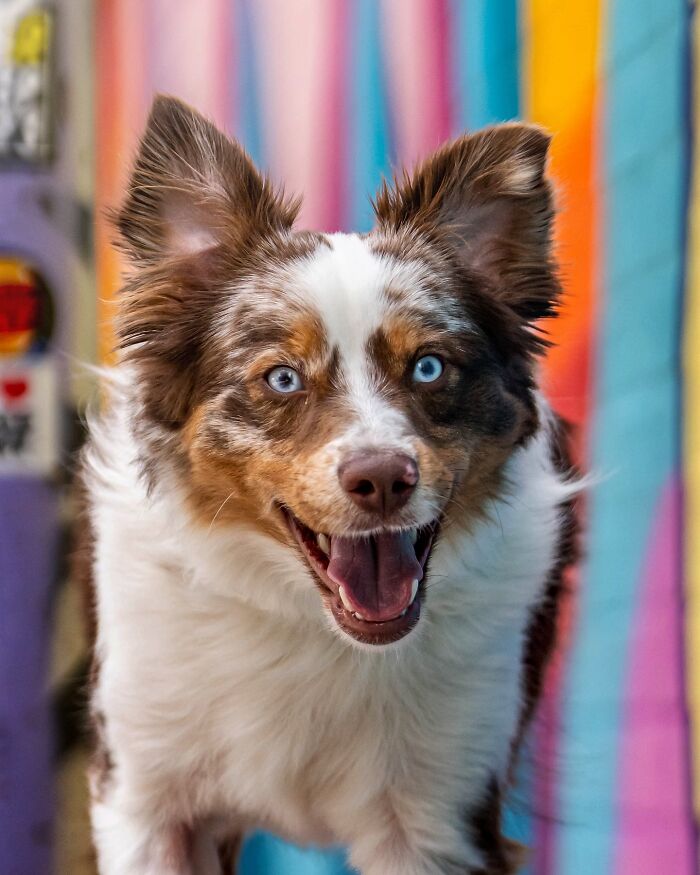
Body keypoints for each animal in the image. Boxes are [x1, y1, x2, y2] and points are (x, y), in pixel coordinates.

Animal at [79, 96, 580, 875]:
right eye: (282, 378)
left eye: (429, 367)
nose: (382, 479)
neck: (310, 625)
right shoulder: (144, 798)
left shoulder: (444, 817)